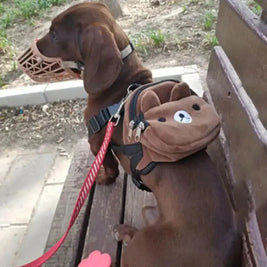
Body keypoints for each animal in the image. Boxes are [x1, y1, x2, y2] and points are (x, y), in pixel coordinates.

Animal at [36, 2, 243, 267]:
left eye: (54, 34)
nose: (36, 43)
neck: (120, 86)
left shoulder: (97, 142)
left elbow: (109, 166)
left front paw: (103, 178)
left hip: (142, 246)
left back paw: (123, 232)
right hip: (150, 216)